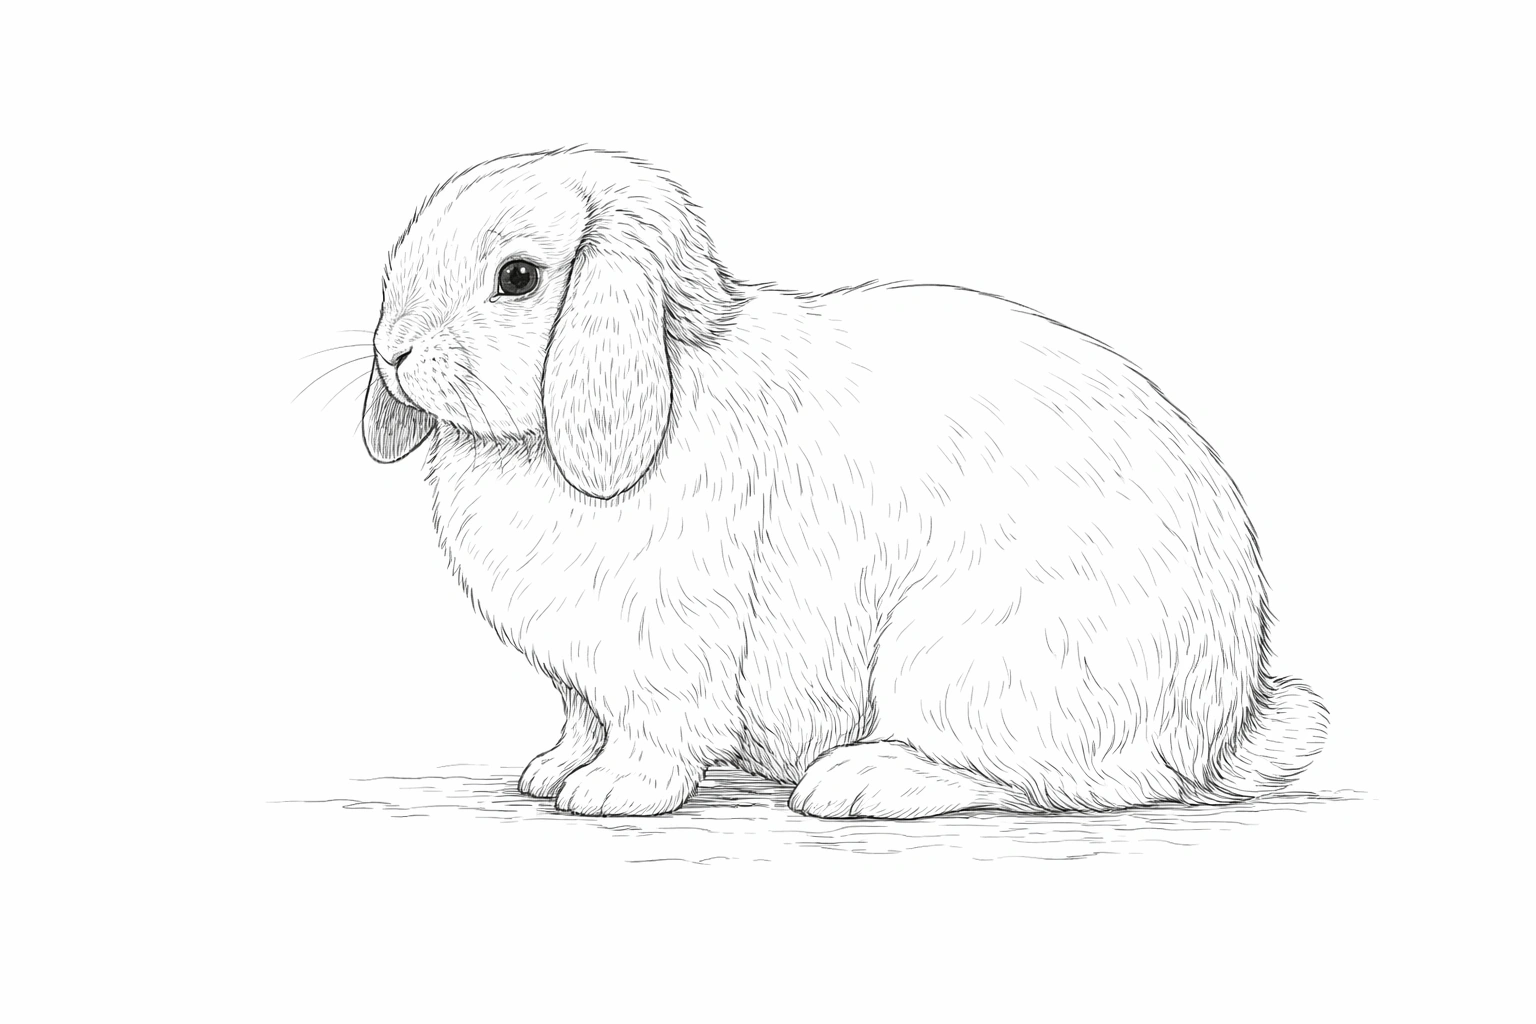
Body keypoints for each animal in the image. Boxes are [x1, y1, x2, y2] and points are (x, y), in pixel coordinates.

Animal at [360, 146, 1328, 818]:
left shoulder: (664, 646)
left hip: (962, 656)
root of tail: (1219, 728)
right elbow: (579, 717)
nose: (394, 354)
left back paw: (860, 782)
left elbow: (656, 728)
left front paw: (612, 793)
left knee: (1054, 782)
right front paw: (554, 771)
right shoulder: (579, 672)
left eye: (517, 278)